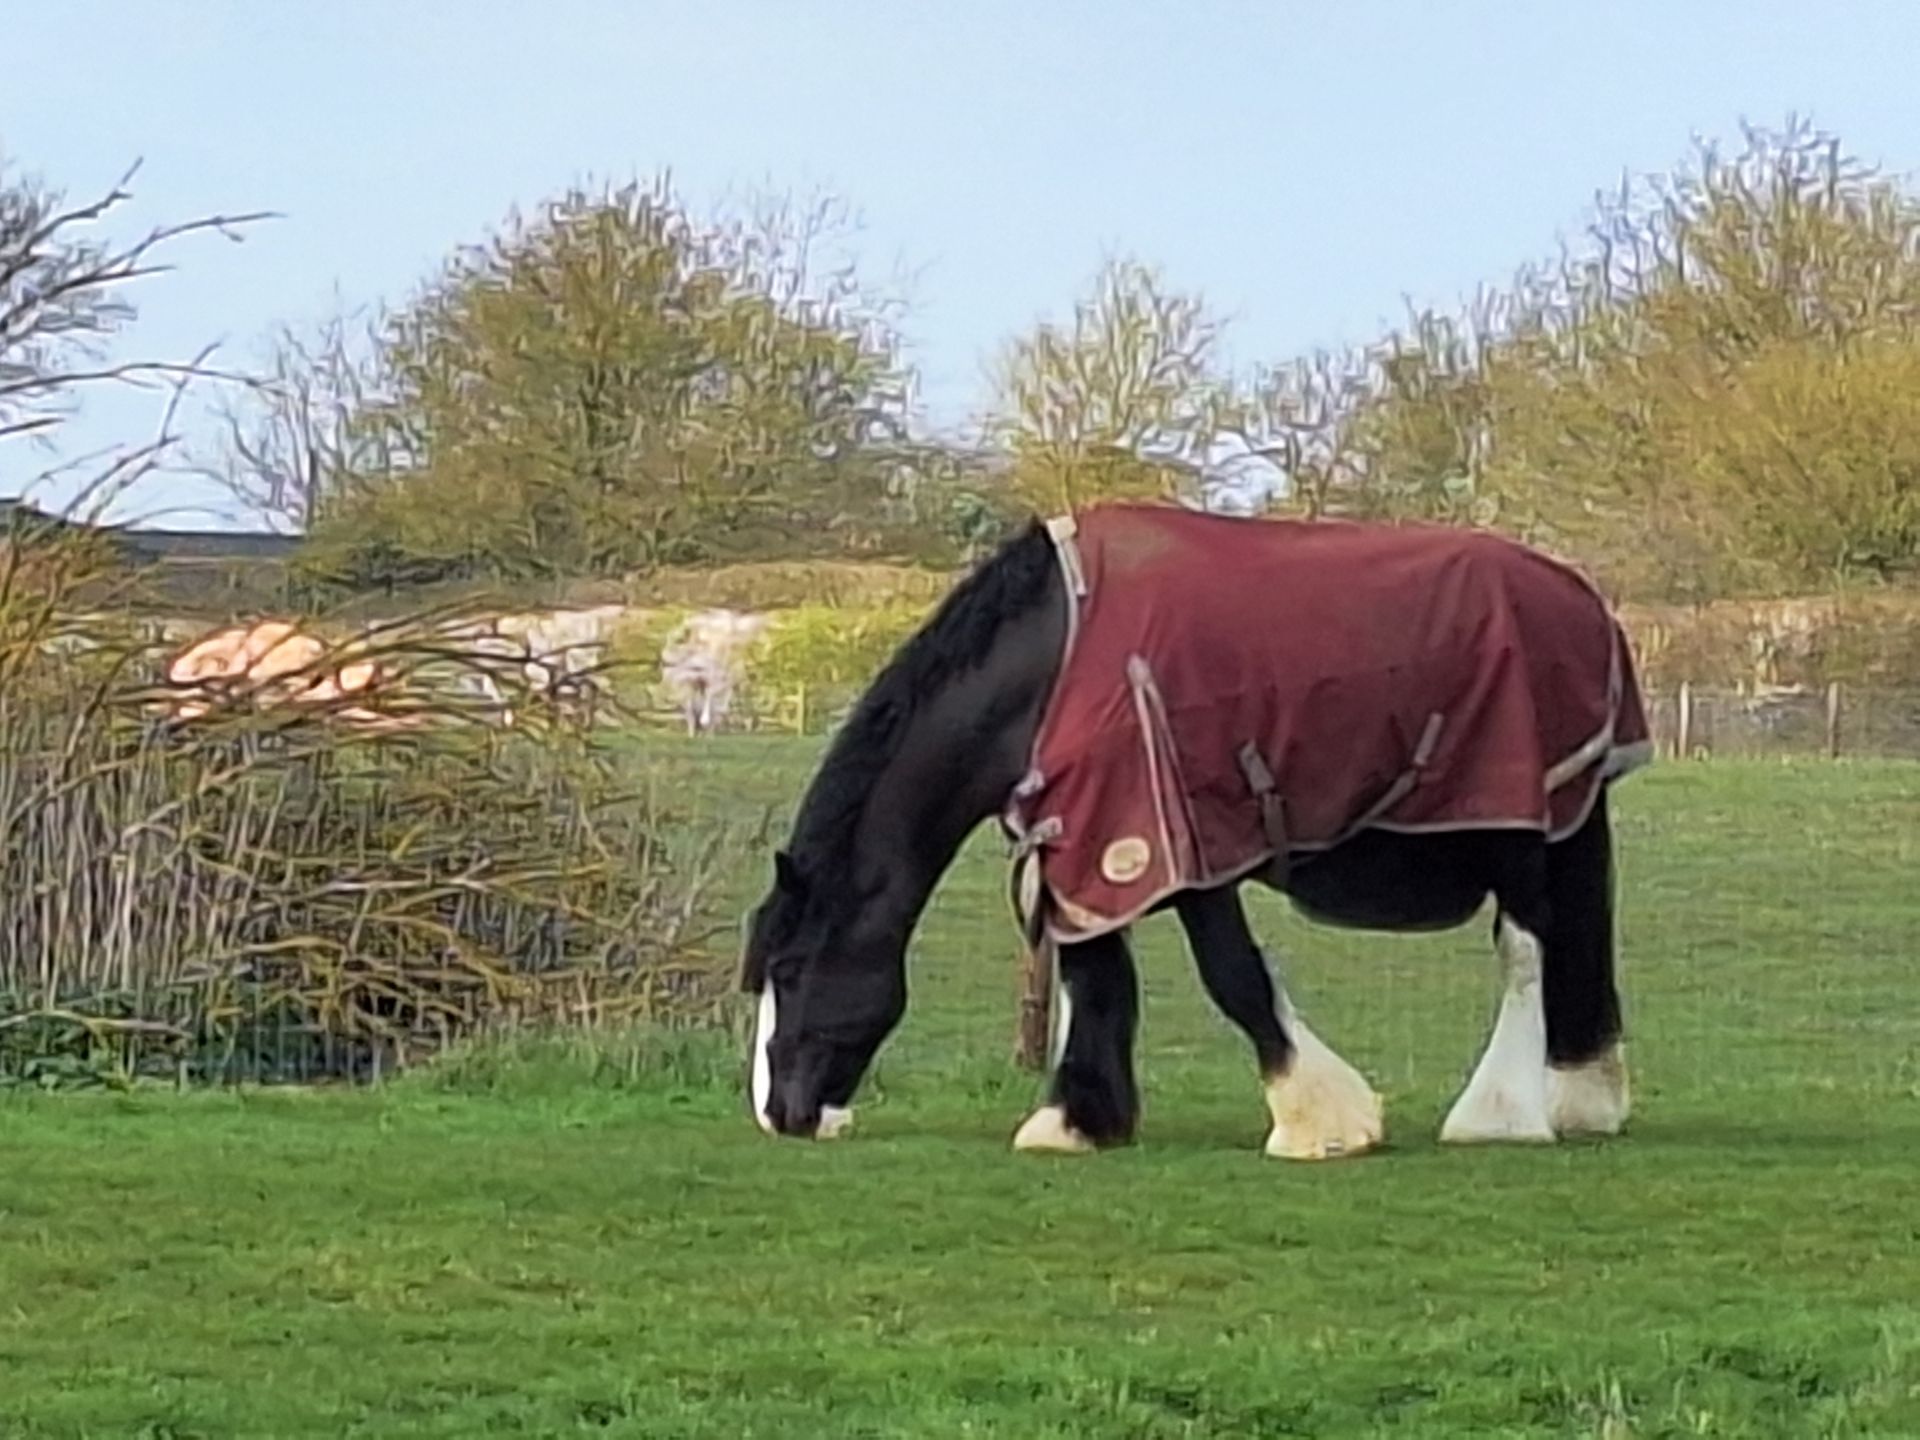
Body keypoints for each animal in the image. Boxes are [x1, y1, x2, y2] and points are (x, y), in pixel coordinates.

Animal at [740, 503, 1653, 1160]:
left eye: (790, 967)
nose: (779, 1113)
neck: (1055, 665)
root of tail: (1582, 601)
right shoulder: (1086, 843)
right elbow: (1097, 979)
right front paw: (1078, 1120)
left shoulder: (1179, 840)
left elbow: (1233, 975)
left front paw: (1318, 1121)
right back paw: (1578, 1099)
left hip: (1518, 823)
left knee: (1527, 951)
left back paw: (1500, 1114)